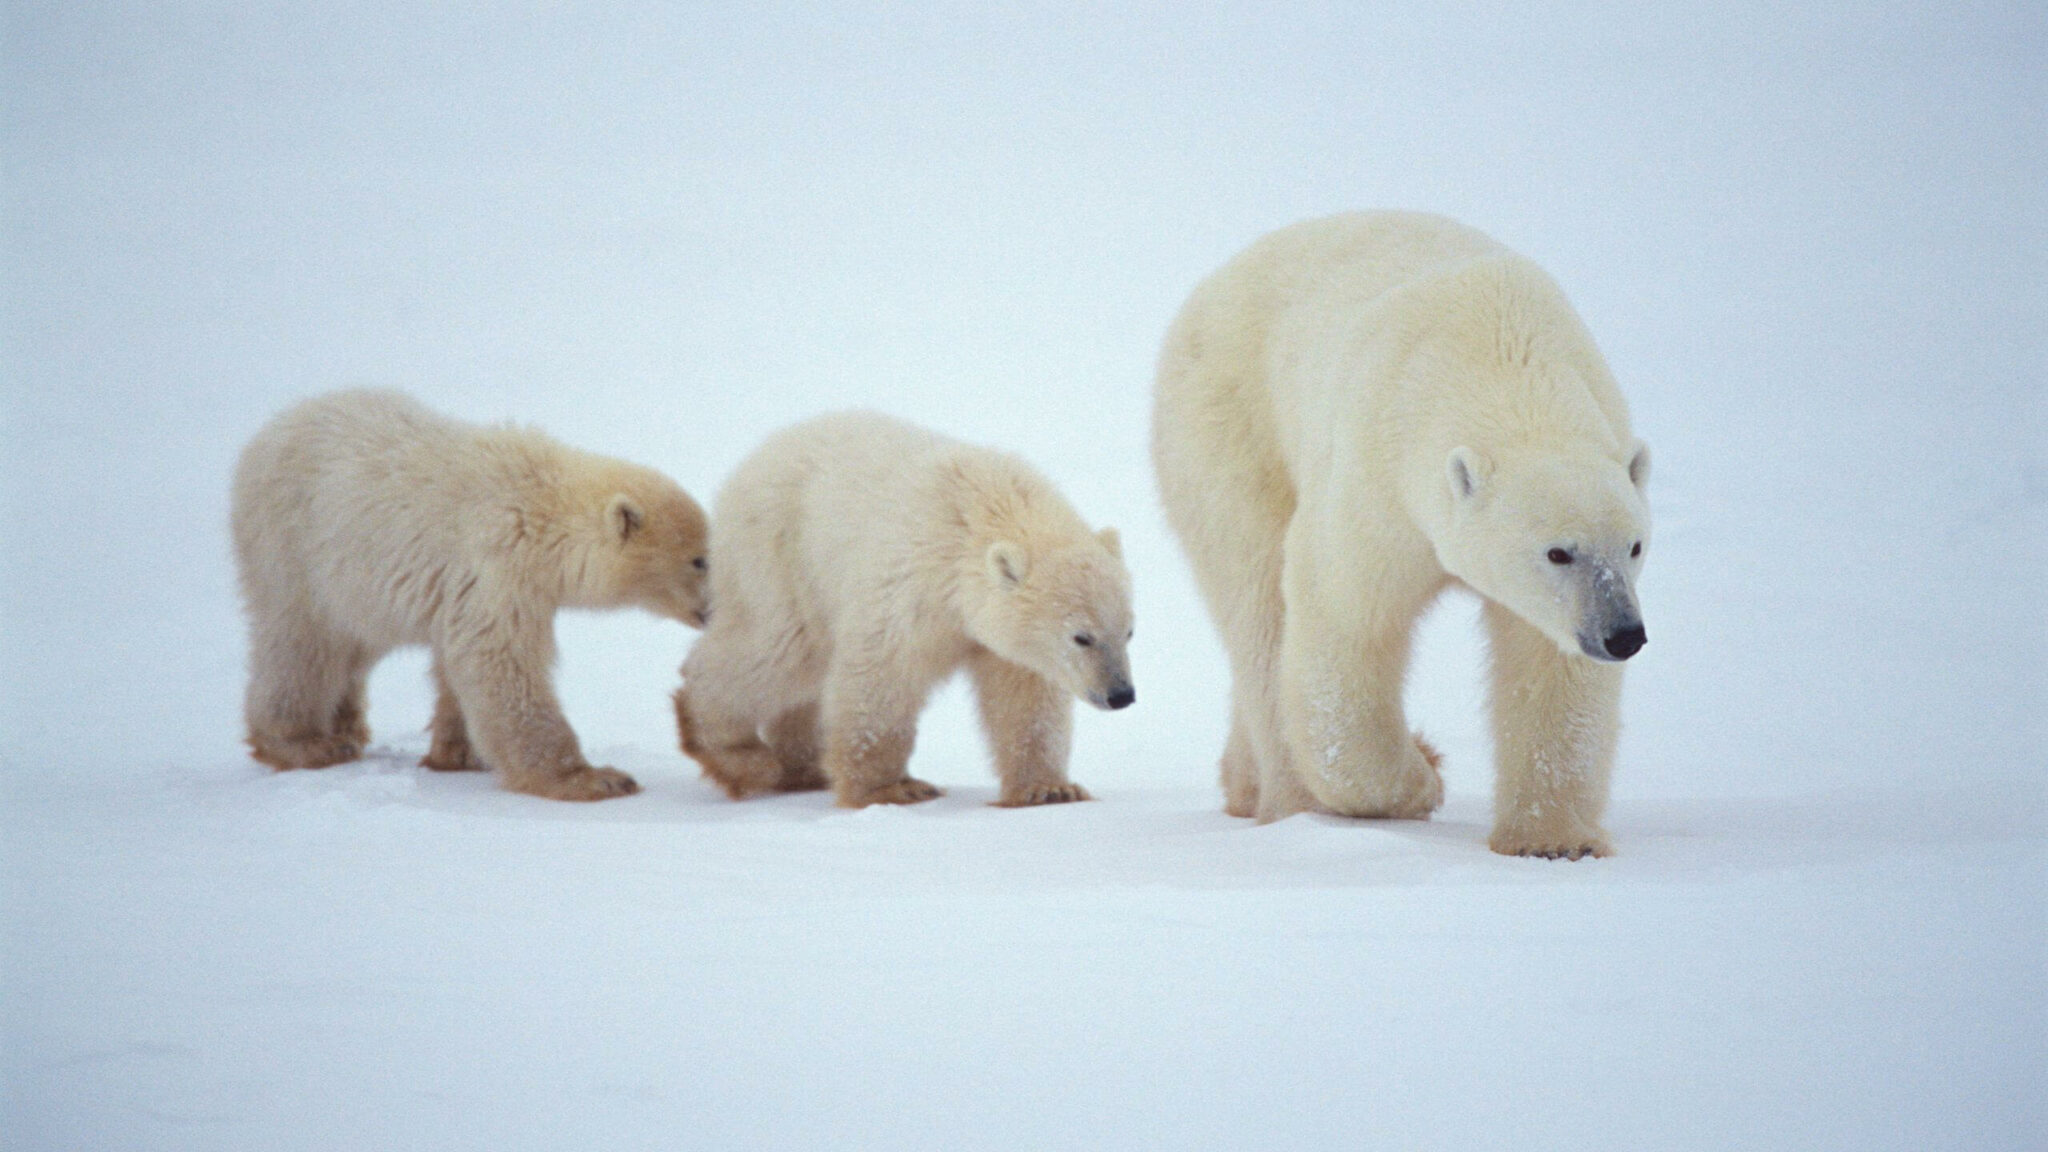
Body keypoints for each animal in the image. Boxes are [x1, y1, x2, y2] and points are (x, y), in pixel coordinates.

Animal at [231, 385, 708, 799]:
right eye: (699, 559)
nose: (714, 609)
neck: (542, 506)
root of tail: (268, 432)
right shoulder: (497, 562)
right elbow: (499, 661)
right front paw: (595, 778)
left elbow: (460, 659)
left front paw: (458, 753)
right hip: (296, 551)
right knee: (303, 647)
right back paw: (306, 743)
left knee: (353, 646)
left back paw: (347, 729)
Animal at [684, 407, 1138, 803]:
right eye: (1081, 637)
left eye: (1129, 631)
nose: (1121, 695)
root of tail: (758, 453)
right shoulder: (909, 585)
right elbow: (882, 677)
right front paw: (889, 790)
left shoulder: (999, 633)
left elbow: (1025, 695)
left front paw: (1049, 789)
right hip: (780, 557)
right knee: (778, 650)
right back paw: (728, 747)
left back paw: (802, 767)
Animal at [1163, 208, 1654, 852]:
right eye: (1557, 552)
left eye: (1635, 546)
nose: (1623, 634)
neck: (1501, 355)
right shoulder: (1380, 479)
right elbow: (1345, 627)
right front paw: (1422, 777)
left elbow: (1549, 663)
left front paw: (1553, 841)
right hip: (1230, 423)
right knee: (1259, 606)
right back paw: (1293, 805)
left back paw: (1245, 786)